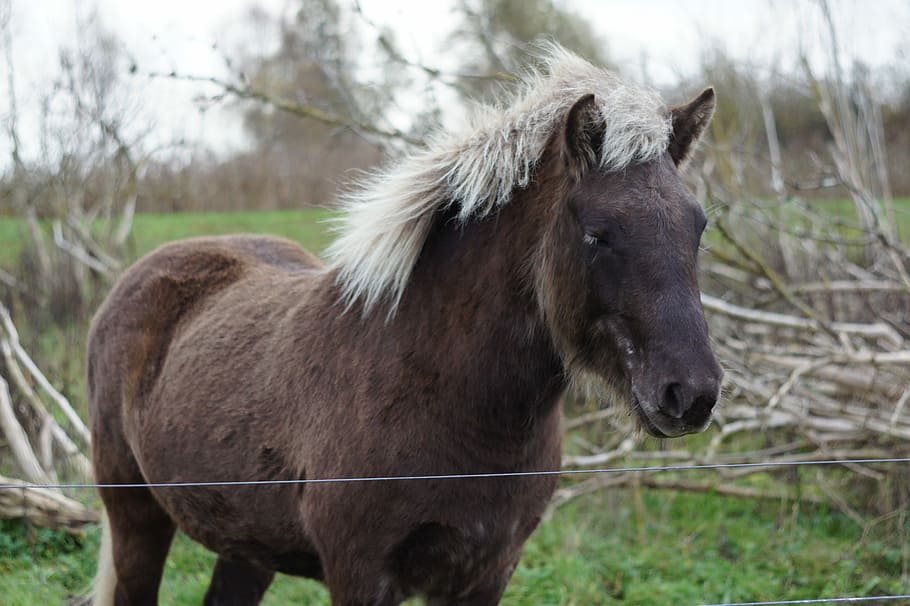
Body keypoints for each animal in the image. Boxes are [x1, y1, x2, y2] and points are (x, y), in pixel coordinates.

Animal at [87, 47, 728, 606]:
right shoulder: (362, 575)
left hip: (245, 544)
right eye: (598, 234)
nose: (691, 392)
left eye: (698, 227)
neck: (445, 396)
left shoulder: (484, 576)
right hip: (136, 519)